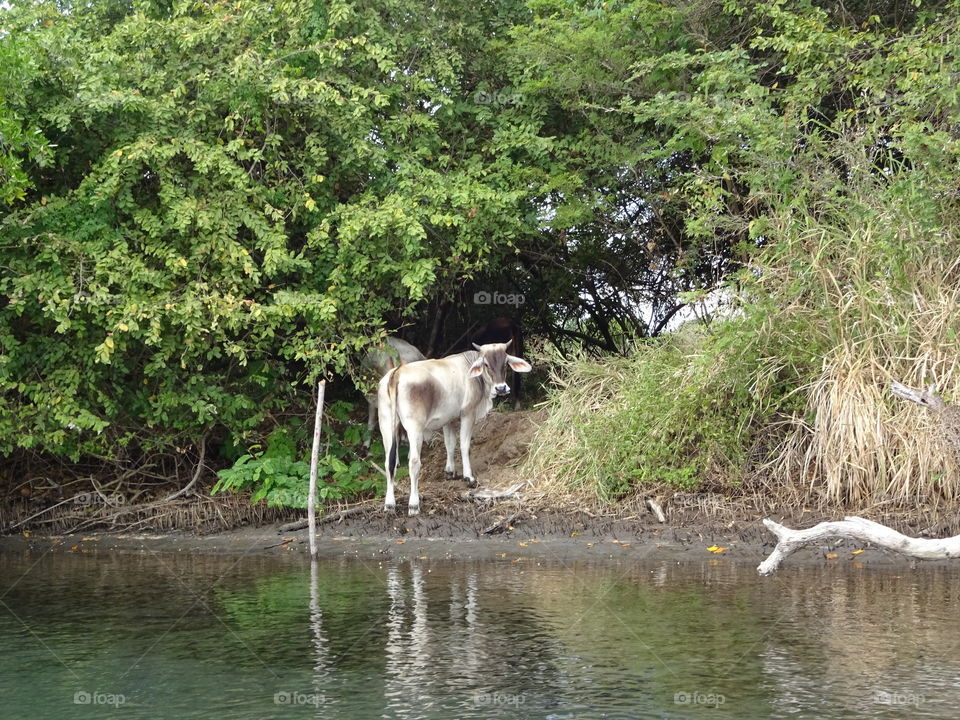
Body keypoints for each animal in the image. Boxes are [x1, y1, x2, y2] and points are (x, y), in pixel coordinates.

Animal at [378, 341, 532, 515]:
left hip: (386, 427)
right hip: (414, 429)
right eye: (486, 364)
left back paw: (389, 504)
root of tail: (397, 372)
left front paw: (450, 471)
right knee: (414, 462)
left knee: (389, 463)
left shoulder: (448, 419)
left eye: (505, 363)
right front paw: (468, 476)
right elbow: (464, 445)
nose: (501, 388)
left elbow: (449, 444)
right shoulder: (468, 413)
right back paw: (413, 504)